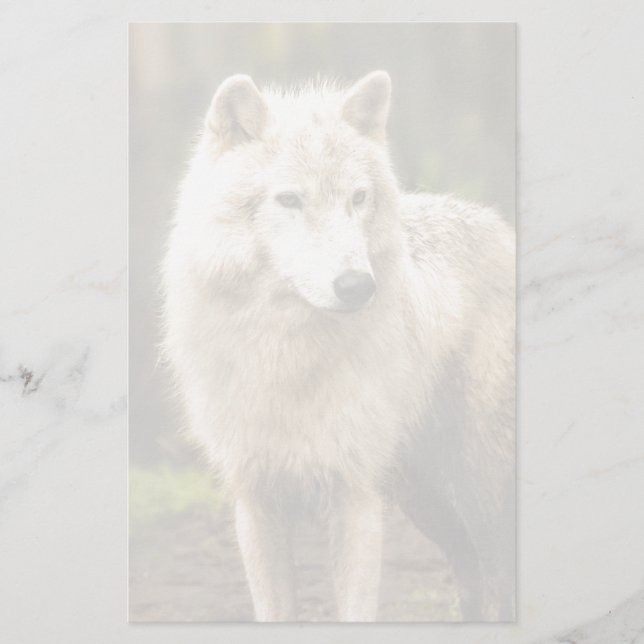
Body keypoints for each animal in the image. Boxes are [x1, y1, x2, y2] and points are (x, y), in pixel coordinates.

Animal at [162, 71, 515, 622]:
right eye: (290, 200)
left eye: (357, 198)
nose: (357, 287)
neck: (286, 355)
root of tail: (502, 228)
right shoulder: (256, 502)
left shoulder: (356, 498)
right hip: (425, 498)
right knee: (474, 582)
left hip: (479, 486)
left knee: (502, 583)